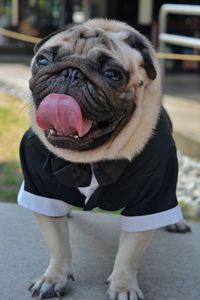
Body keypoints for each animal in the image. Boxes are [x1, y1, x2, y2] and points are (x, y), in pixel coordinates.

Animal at [17, 19, 186, 298]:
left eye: (113, 75)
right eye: (42, 60)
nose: (71, 73)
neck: (90, 160)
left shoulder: (152, 197)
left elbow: (129, 253)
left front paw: (124, 285)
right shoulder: (40, 188)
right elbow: (58, 244)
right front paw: (53, 277)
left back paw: (178, 222)